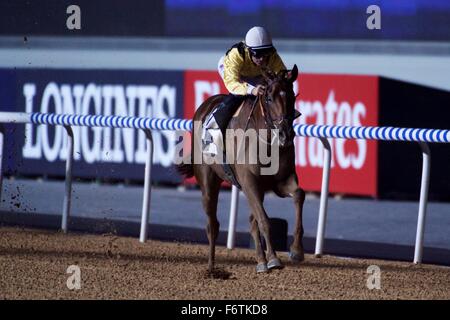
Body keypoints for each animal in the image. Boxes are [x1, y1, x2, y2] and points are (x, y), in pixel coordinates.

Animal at [178, 64, 304, 272]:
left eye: (292, 96)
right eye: (269, 98)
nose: (285, 134)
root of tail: (205, 106)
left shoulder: (281, 181)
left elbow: (298, 196)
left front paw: (296, 250)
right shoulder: (249, 182)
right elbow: (264, 220)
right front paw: (274, 258)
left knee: (251, 221)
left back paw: (260, 260)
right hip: (208, 181)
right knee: (213, 225)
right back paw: (211, 267)